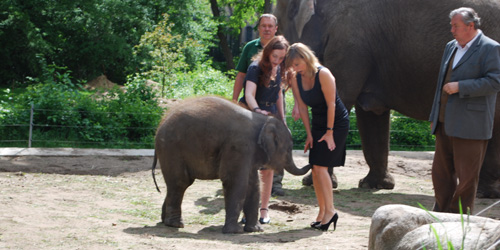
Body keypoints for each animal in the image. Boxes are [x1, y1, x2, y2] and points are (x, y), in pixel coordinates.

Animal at [150, 96, 310, 233]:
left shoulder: (249, 152)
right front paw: (235, 231)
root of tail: (159, 126)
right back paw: (176, 224)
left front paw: (255, 230)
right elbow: (235, 182)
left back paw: (165, 222)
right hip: (172, 148)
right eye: (289, 149)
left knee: (176, 184)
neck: (263, 120)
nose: (308, 149)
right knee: (181, 182)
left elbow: (253, 185)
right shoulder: (239, 146)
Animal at [274, 0, 500, 197]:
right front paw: (375, 185)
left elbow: (338, 102)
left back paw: (483, 193)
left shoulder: (349, 43)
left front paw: (313, 182)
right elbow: (371, 114)